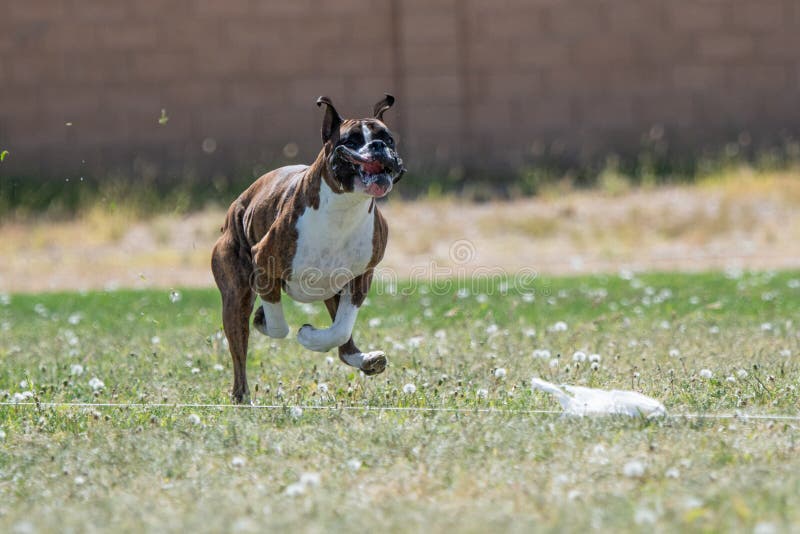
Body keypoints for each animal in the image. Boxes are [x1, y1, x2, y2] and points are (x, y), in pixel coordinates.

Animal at [211, 94, 404, 402]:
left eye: (388, 139)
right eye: (350, 141)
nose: (378, 146)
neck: (344, 207)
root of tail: (235, 207)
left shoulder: (360, 279)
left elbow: (340, 329)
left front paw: (311, 337)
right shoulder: (264, 266)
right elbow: (279, 326)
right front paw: (279, 326)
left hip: (331, 289)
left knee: (344, 344)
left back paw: (363, 359)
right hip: (235, 296)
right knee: (239, 356)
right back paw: (243, 398)